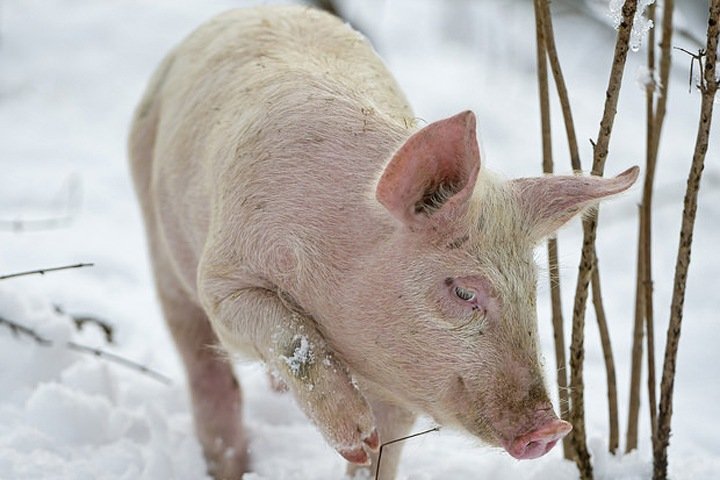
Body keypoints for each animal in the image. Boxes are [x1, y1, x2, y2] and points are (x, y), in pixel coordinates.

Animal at [126, 4, 640, 480]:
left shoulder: (402, 380)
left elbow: (384, 454)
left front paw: (365, 450)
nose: (551, 429)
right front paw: (358, 438)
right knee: (202, 362)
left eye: (532, 289)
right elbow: (292, 338)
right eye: (464, 291)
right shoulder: (225, 277)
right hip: (156, 227)